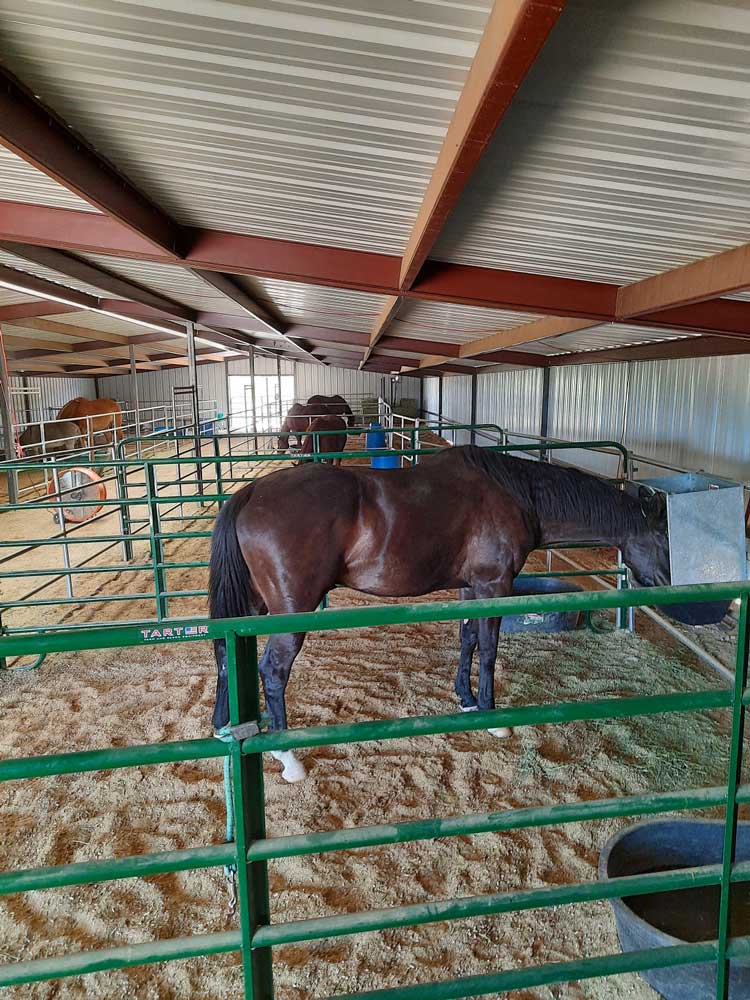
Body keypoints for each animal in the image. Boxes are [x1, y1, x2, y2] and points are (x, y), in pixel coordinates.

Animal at [209, 446, 672, 780]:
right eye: (663, 538)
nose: (669, 588)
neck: (515, 494)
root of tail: (251, 493)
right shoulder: (494, 585)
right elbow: (489, 648)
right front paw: (492, 716)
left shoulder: (471, 586)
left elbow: (467, 639)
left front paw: (465, 700)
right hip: (291, 610)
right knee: (274, 671)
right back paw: (288, 758)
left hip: (254, 605)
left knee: (227, 659)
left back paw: (225, 727)